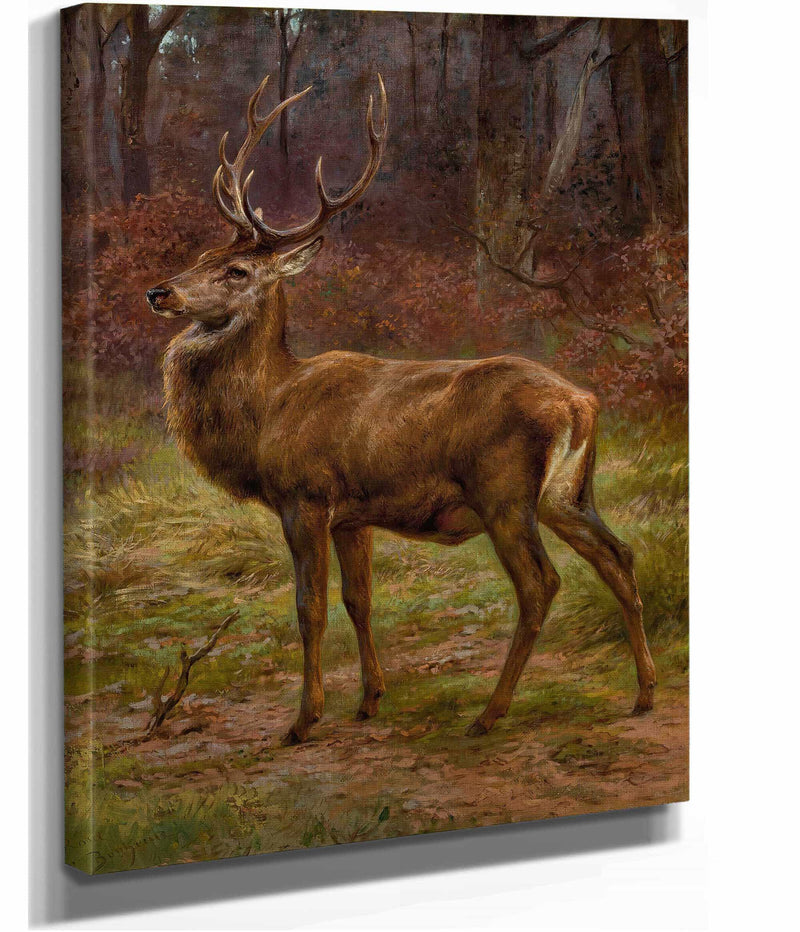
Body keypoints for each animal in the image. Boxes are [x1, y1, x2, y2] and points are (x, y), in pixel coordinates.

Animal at [146, 73, 656, 746]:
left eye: (235, 270)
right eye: (201, 255)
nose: (159, 291)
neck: (267, 413)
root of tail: (582, 401)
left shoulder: (304, 496)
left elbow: (309, 608)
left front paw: (304, 720)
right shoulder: (351, 515)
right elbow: (358, 601)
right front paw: (369, 700)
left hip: (503, 490)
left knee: (540, 585)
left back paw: (489, 713)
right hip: (568, 492)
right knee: (618, 557)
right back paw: (645, 693)